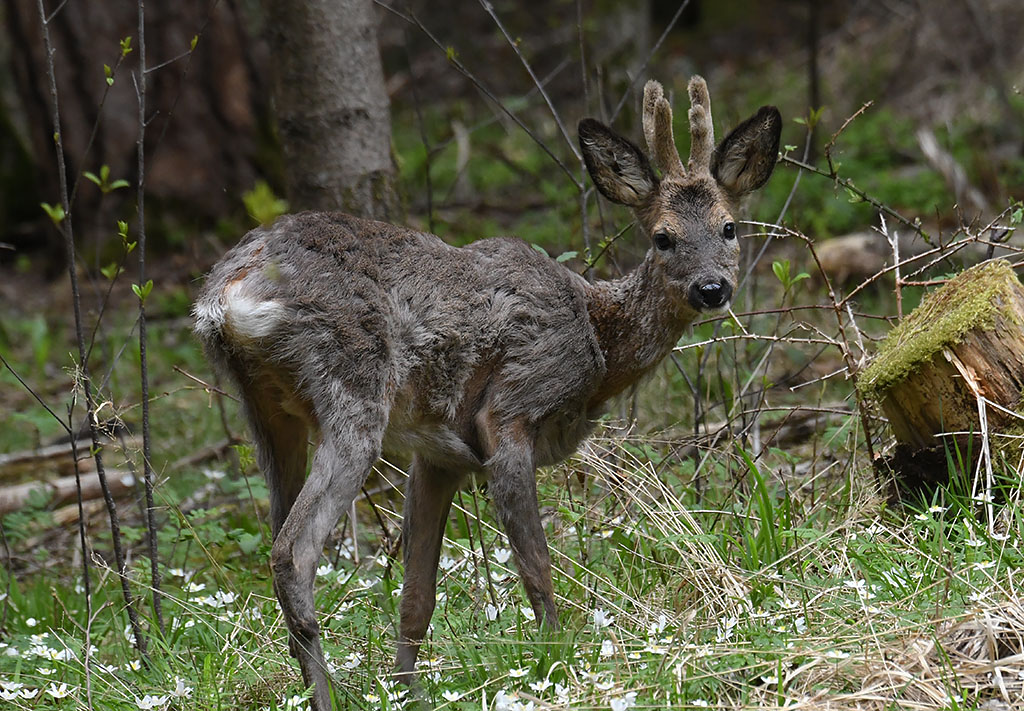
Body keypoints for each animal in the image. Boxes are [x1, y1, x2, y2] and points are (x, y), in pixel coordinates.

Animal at [195, 75, 778, 708]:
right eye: (663, 237)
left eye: (729, 227)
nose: (712, 289)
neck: (598, 341)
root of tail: (228, 295)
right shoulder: (510, 413)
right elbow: (537, 571)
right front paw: (560, 665)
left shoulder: (438, 457)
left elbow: (416, 597)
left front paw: (409, 692)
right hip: (353, 392)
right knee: (292, 553)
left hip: (269, 413)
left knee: (280, 532)